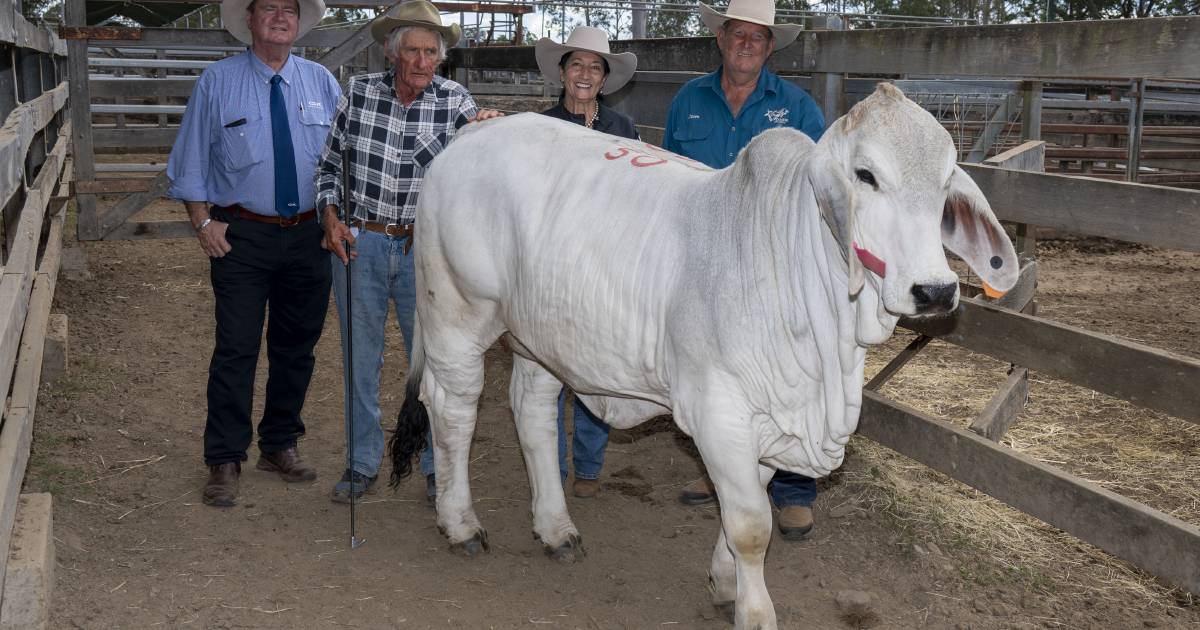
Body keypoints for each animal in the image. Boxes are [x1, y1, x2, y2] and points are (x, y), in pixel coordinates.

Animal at [388, 84, 1017, 628]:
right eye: (866, 175)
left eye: (944, 184)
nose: (935, 290)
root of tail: (470, 135)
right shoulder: (720, 413)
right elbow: (751, 526)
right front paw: (756, 613)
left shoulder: (769, 421)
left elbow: (751, 508)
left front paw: (725, 583)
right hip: (456, 316)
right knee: (453, 410)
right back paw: (461, 523)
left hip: (540, 336)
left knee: (533, 410)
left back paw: (555, 528)